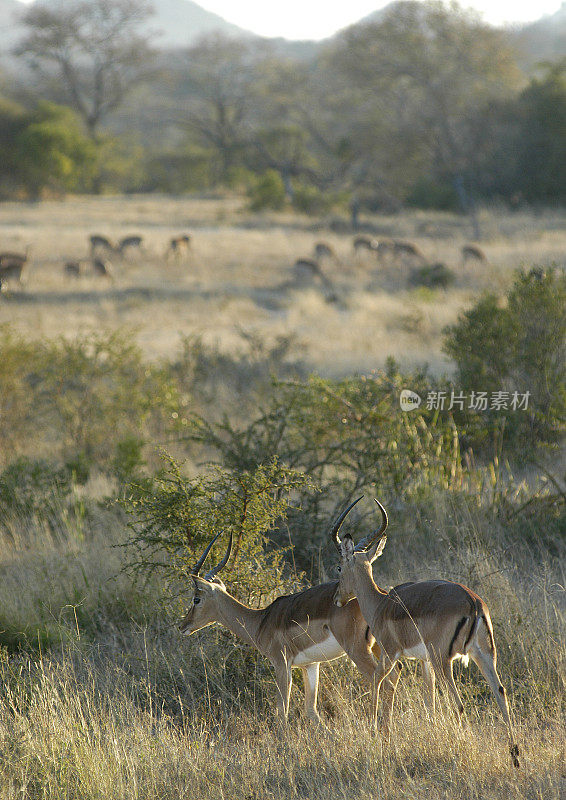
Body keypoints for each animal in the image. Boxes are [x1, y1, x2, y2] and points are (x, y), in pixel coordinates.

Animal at [180, 516, 406, 728]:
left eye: (196, 599)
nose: (183, 626)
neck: (261, 621)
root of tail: (381, 595)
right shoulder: (310, 665)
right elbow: (311, 711)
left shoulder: (282, 664)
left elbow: (282, 712)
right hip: (381, 647)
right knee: (394, 674)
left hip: (358, 650)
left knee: (382, 681)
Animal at [332, 496, 524, 764]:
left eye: (339, 567)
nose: (337, 599)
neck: (381, 603)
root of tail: (473, 602)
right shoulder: (424, 662)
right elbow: (428, 701)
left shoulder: (390, 655)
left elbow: (378, 683)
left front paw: (376, 734)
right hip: (482, 655)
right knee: (500, 691)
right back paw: (514, 755)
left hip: (443, 659)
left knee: (458, 703)